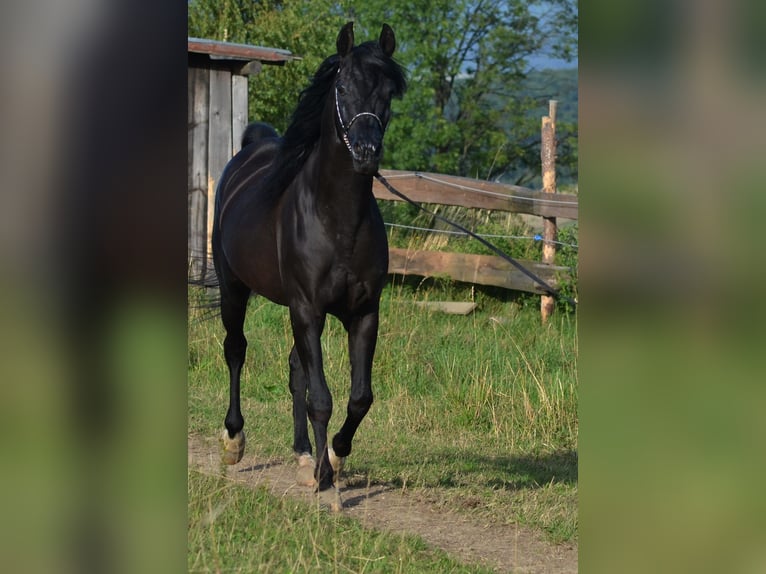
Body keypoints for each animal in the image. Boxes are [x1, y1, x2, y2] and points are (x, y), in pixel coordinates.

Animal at [211, 22, 407, 510]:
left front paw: (330, 460)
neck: (337, 221)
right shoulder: (308, 308)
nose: (366, 152)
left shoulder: (362, 314)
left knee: (295, 368)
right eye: (342, 87)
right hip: (234, 288)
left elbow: (359, 398)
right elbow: (322, 398)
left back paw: (302, 455)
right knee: (236, 350)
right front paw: (327, 484)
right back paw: (233, 441)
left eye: (388, 93)